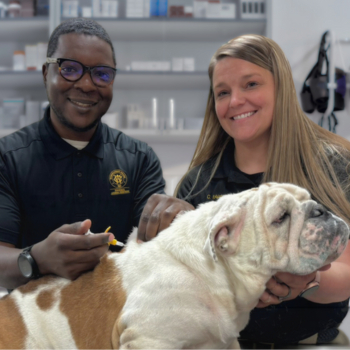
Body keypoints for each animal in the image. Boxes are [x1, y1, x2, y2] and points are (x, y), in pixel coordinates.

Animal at [0, 183, 350, 350]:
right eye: (281, 217)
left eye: (307, 196)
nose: (320, 209)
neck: (209, 275)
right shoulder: (148, 339)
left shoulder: (225, 343)